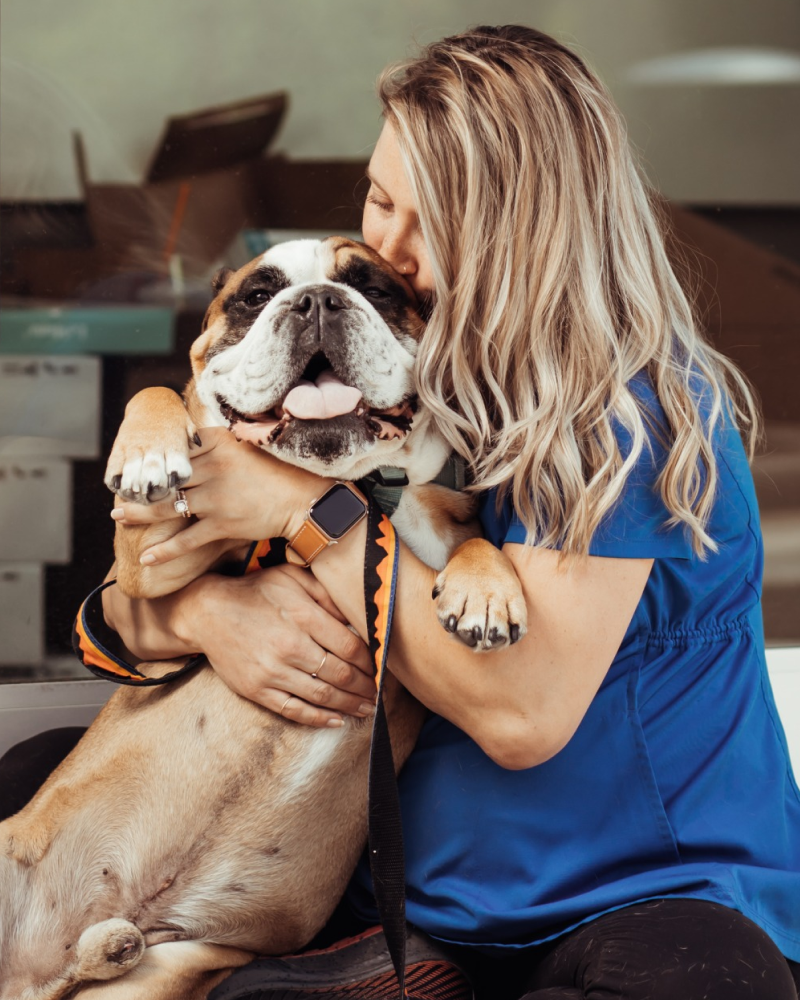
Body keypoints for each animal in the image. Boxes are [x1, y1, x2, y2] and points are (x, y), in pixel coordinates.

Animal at [0, 238, 527, 1000]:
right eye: (256, 295)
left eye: (375, 287)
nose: (316, 301)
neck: (345, 487)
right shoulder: (149, 562)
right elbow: (160, 394)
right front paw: (149, 449)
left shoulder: (442, 521)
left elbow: (480, 540)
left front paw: (486, 592)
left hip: (171, 968)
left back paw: (113, 943)